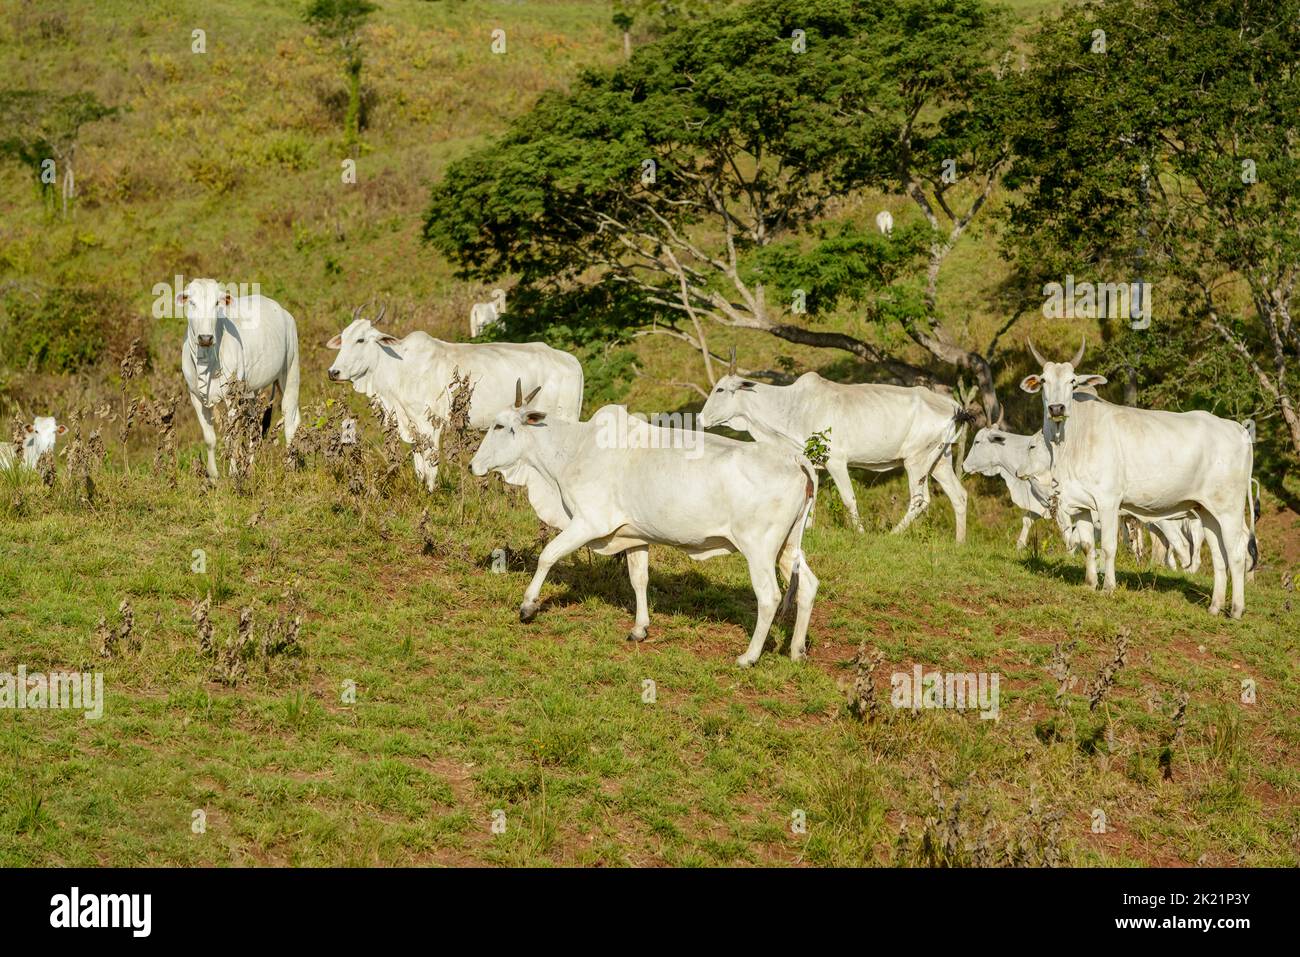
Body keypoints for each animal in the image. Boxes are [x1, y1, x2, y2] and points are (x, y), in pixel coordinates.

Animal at [179, 276, 300, 478]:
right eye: (192, 303)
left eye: (216, 303)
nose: (205, 338)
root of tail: (283, 312)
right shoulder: (195, 397)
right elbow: (210, 438)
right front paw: (214, 476)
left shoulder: (231, 397)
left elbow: (232, 435)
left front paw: (233, 473)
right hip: (252, 391)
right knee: (255, 428)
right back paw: (250, 468)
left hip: (290, 372)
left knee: (289, 417)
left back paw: (290, 465)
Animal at [325, 302, 585, 488]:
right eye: (343, 338)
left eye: (360, 339)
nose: (333, 372)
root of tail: (571, 361)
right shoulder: (411, 426)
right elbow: (418, 465)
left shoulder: (429, 424)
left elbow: (430, 465)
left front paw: (430, 492)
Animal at [473, 384, 816, 670]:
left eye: (500, 426)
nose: (472, 464)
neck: (575, 448)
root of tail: (795, 459)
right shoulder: (634, 535)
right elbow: (639, 579)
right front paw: (640, 628)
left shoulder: (588, 522)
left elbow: (548, 555)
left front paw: (528, 606)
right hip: (788, 546)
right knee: (808, 585)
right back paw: (797, 650)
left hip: (759, 548)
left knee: (769, 596)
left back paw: (749, 657)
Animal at [696, 356, 972, 540]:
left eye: (720, 389)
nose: (700, 418)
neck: (792, 405)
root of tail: (952, 406)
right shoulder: (811, 461)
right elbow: (812, 493)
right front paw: (807, 529)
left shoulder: (836, 461)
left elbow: (849, 498)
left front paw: (860, 533)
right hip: (940, 460)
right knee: (959, 495)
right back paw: (959, 542)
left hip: (916, 460)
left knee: (920, 500)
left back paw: (892, 534)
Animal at [1019, 340, 1253, 616]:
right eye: (1043, 380)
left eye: (1072, 381)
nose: (1057, 408)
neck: (1067, 444)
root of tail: (1236, 428)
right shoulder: (1080, 504)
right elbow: (1087, 545)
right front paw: (1089, 584)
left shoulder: (1108, 500)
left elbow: (1108, 546)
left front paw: (1108, 587)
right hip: (1206, 510)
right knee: (1218, 554)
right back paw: (1215, 606)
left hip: (1230, 508)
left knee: (1236, 551)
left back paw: (1236, 609)